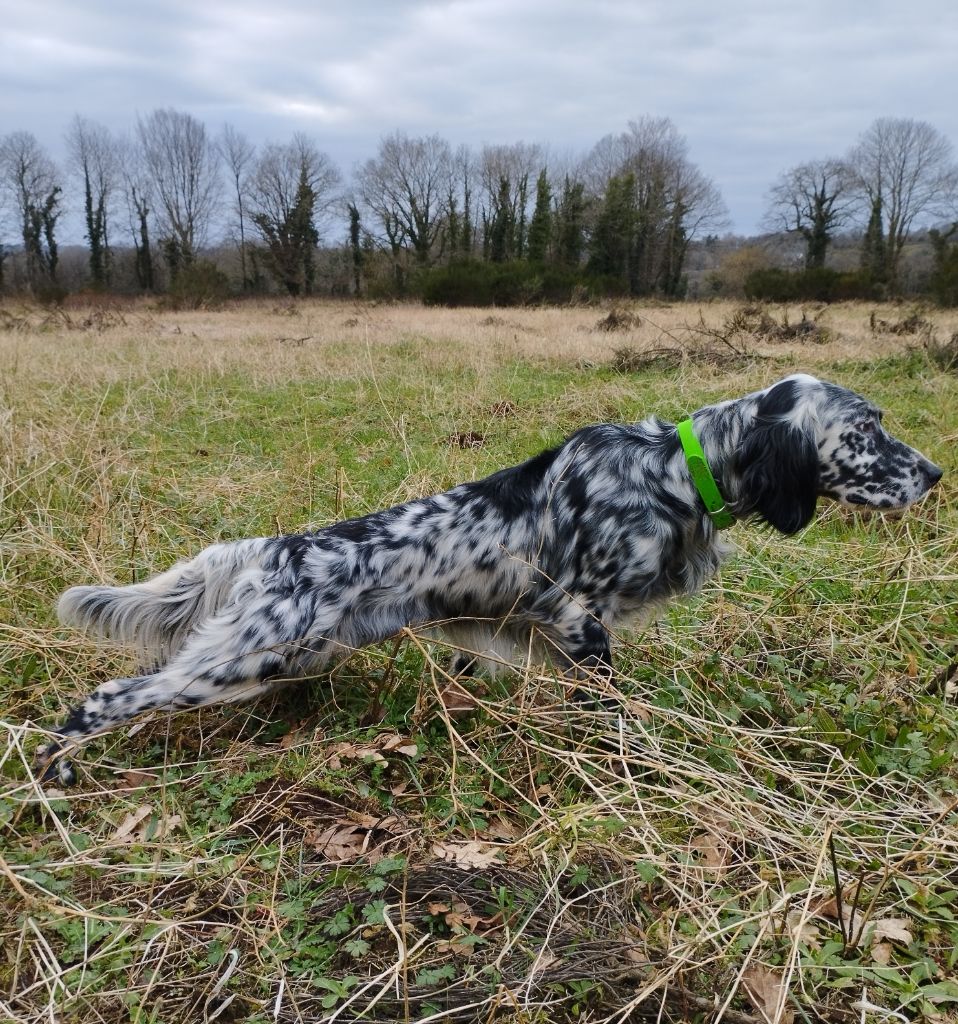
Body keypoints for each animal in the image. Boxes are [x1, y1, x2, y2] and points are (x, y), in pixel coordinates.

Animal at [39, 376, 941, 782]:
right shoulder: (578, 616)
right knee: (107, 696)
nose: (934, 474)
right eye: (865, 431)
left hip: (282, 656)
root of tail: (276, 547)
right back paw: (55, 773)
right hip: (242, 658)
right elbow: (609, 709)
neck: (677, 471)